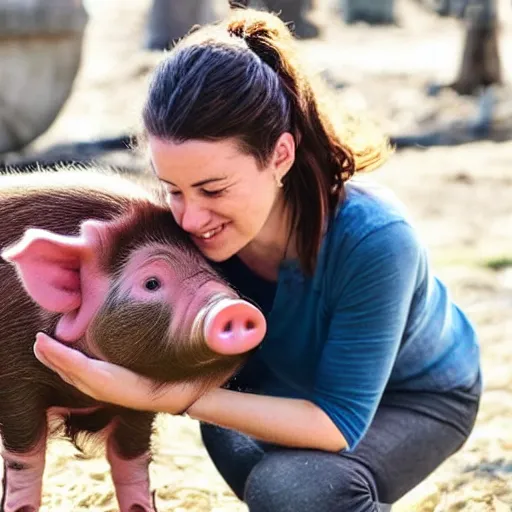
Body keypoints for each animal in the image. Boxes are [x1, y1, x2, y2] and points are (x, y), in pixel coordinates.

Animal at [0, 166, 266, 510]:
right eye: (151, 283)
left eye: (214, 272)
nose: (235, 307)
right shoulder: (15, 384)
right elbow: (26, 463)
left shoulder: (137, 405)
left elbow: (132, 464)